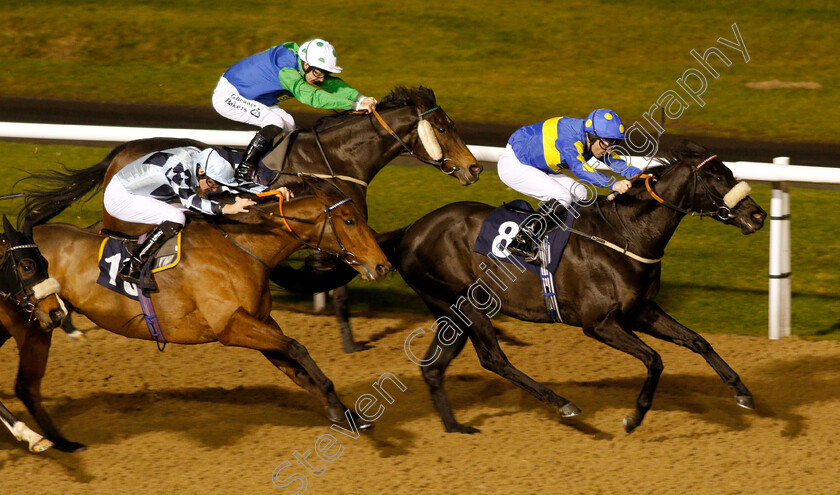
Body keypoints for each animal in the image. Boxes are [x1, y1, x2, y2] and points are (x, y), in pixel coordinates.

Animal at [21, 87, 480, 354]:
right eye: (443, 126)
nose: (473, 168)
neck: (335, 162)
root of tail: (121, 150)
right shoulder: (333, 231)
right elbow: (341, 286)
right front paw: (350, 341)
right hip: (131, 214)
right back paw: (67, 316)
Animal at [388, 142, 768, 434]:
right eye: (717, 177)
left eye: (729, 171)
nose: (758, 215)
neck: (625, 235)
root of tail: (411, 230)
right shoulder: (599, 324)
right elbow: (655, 359)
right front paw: (634, 416)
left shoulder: (642, 311)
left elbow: (698, 341)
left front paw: (743, 392)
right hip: (467, 304)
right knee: (494, 359)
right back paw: (563, 403)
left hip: (450, 313)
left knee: (434, 367)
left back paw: (455, 427)